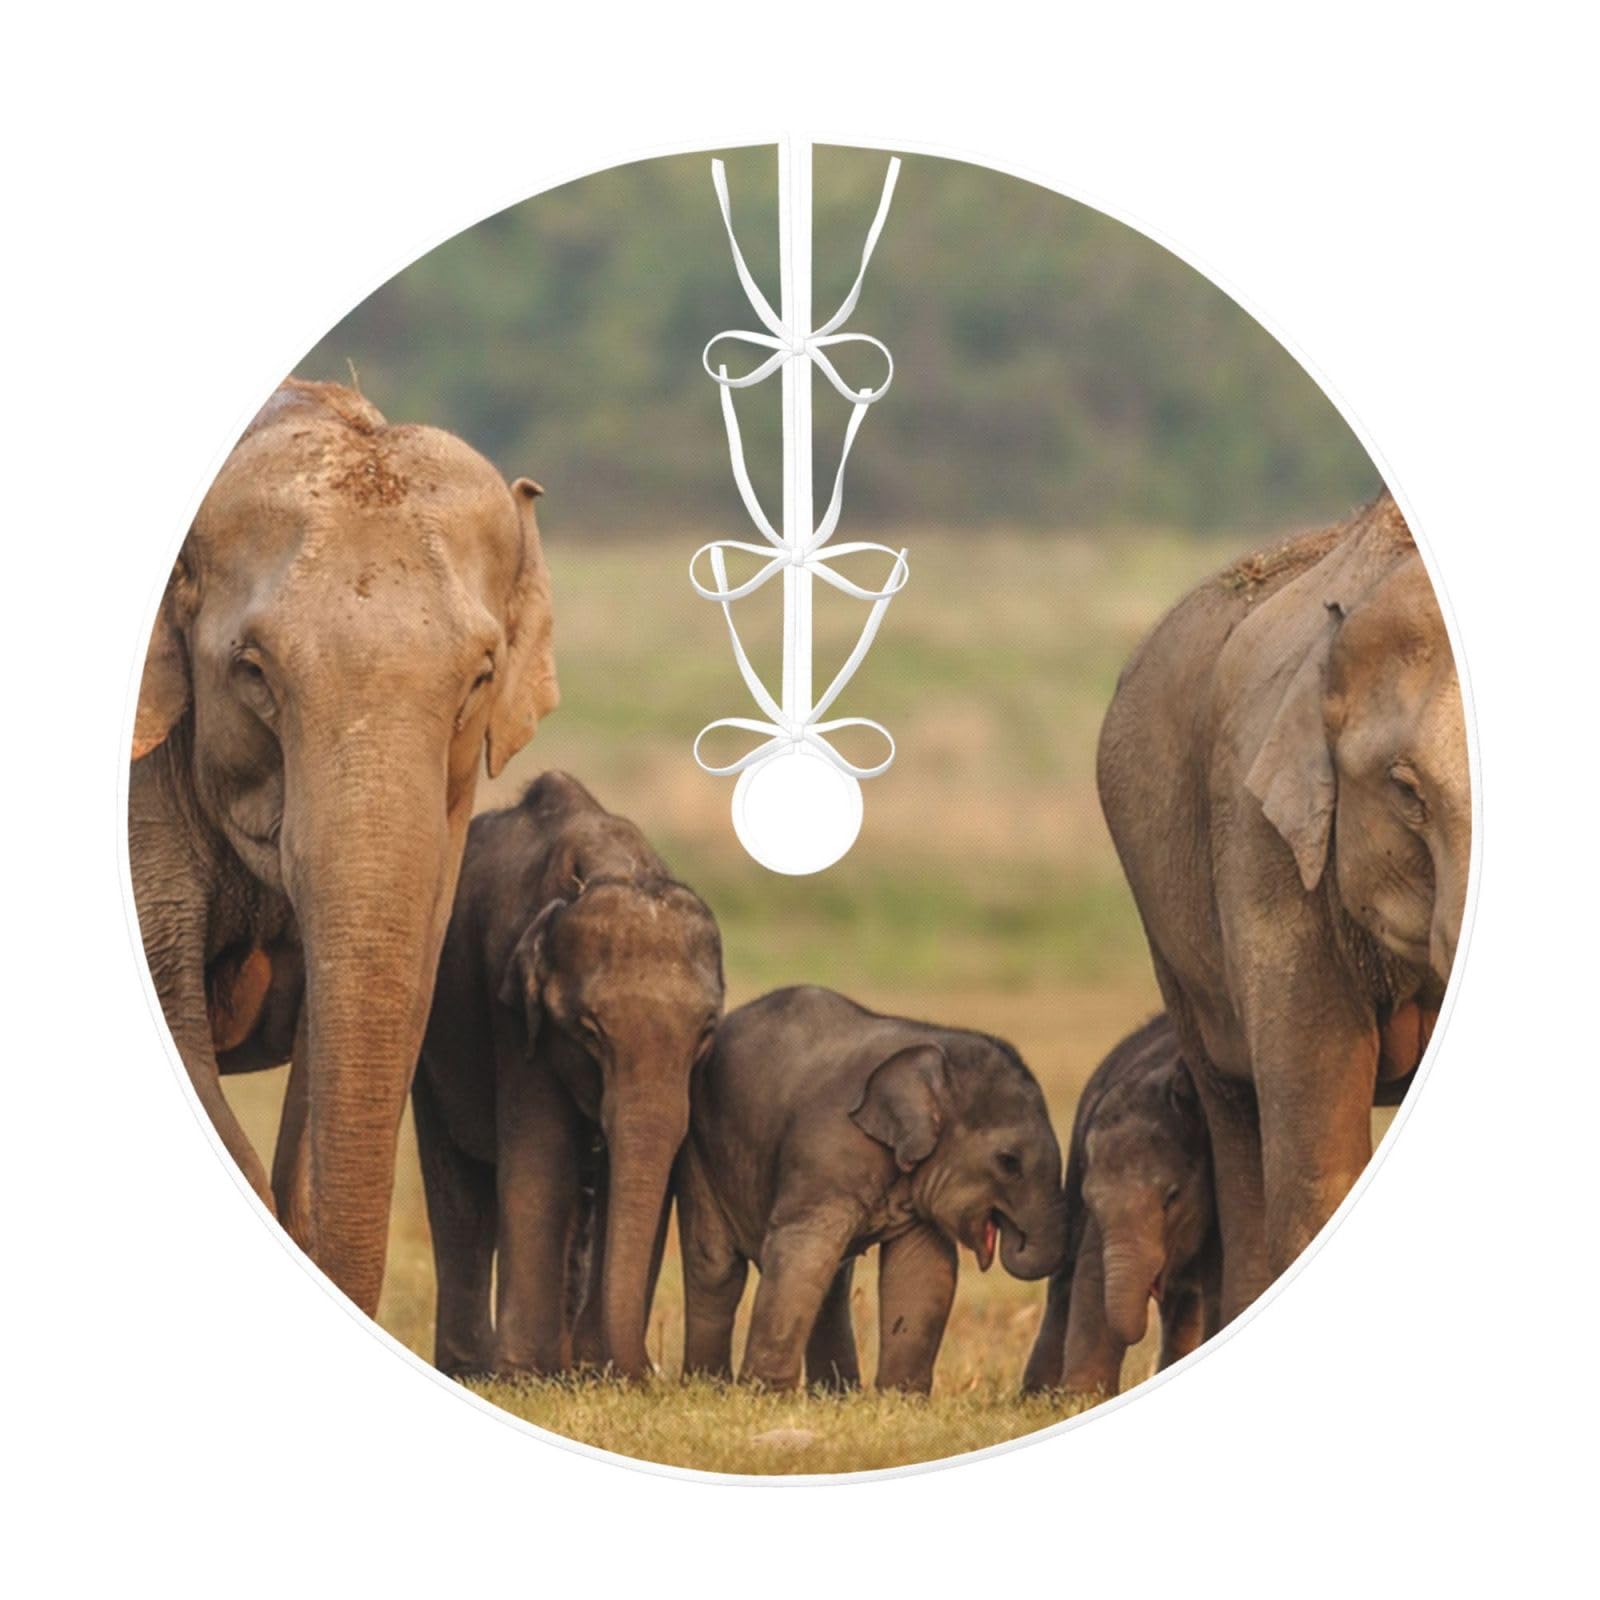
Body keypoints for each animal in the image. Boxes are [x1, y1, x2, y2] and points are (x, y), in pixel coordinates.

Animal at [412, 771, 724, 1380]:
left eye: (706, 1031)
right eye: (589, 1031)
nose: (654, 1372)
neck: (612, 867)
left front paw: (592, 1371)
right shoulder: (513, 1015)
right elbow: (542, 1159)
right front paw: (525, 1374)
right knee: (457, 1190)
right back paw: (471, 1369)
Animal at [676, 986, 1068, 1394]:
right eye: (1009, 1162)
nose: (1012, 1237)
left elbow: (922, 1267)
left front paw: (902, 1398)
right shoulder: (828, 1145)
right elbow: (802, 1248)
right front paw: (764, 1395)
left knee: (830, 1280)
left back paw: (833, 1395)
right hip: (699, 1149)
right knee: (718, 1266)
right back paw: (708, 1387)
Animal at [1022, 1015, 1220, 1397]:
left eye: (1173, 1196)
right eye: (1092, 1199)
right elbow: (1091, 1271)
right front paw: (1082, 1399)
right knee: (1066, 1279)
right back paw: (1035, 1399)